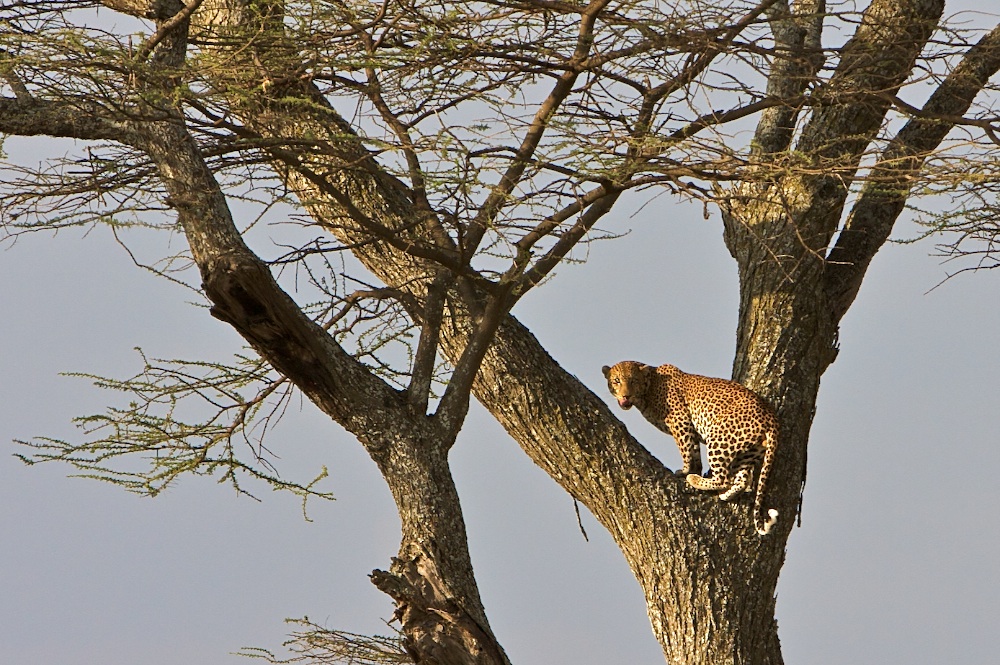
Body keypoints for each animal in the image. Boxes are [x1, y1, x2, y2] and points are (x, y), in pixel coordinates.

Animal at [600, 358, 780, 536]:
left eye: (633, 381)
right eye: (616, 381)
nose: (626, 395)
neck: (649, 388)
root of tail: (771, 418)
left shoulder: (680, 420)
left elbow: (685, 449)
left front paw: (686, 471)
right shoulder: (689, 428)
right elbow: (693, 451)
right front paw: (694, 469)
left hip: (719, 438)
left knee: (723, 478)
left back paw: (695, 480)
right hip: (747, 451)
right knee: (742, 479)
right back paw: (725, 495)